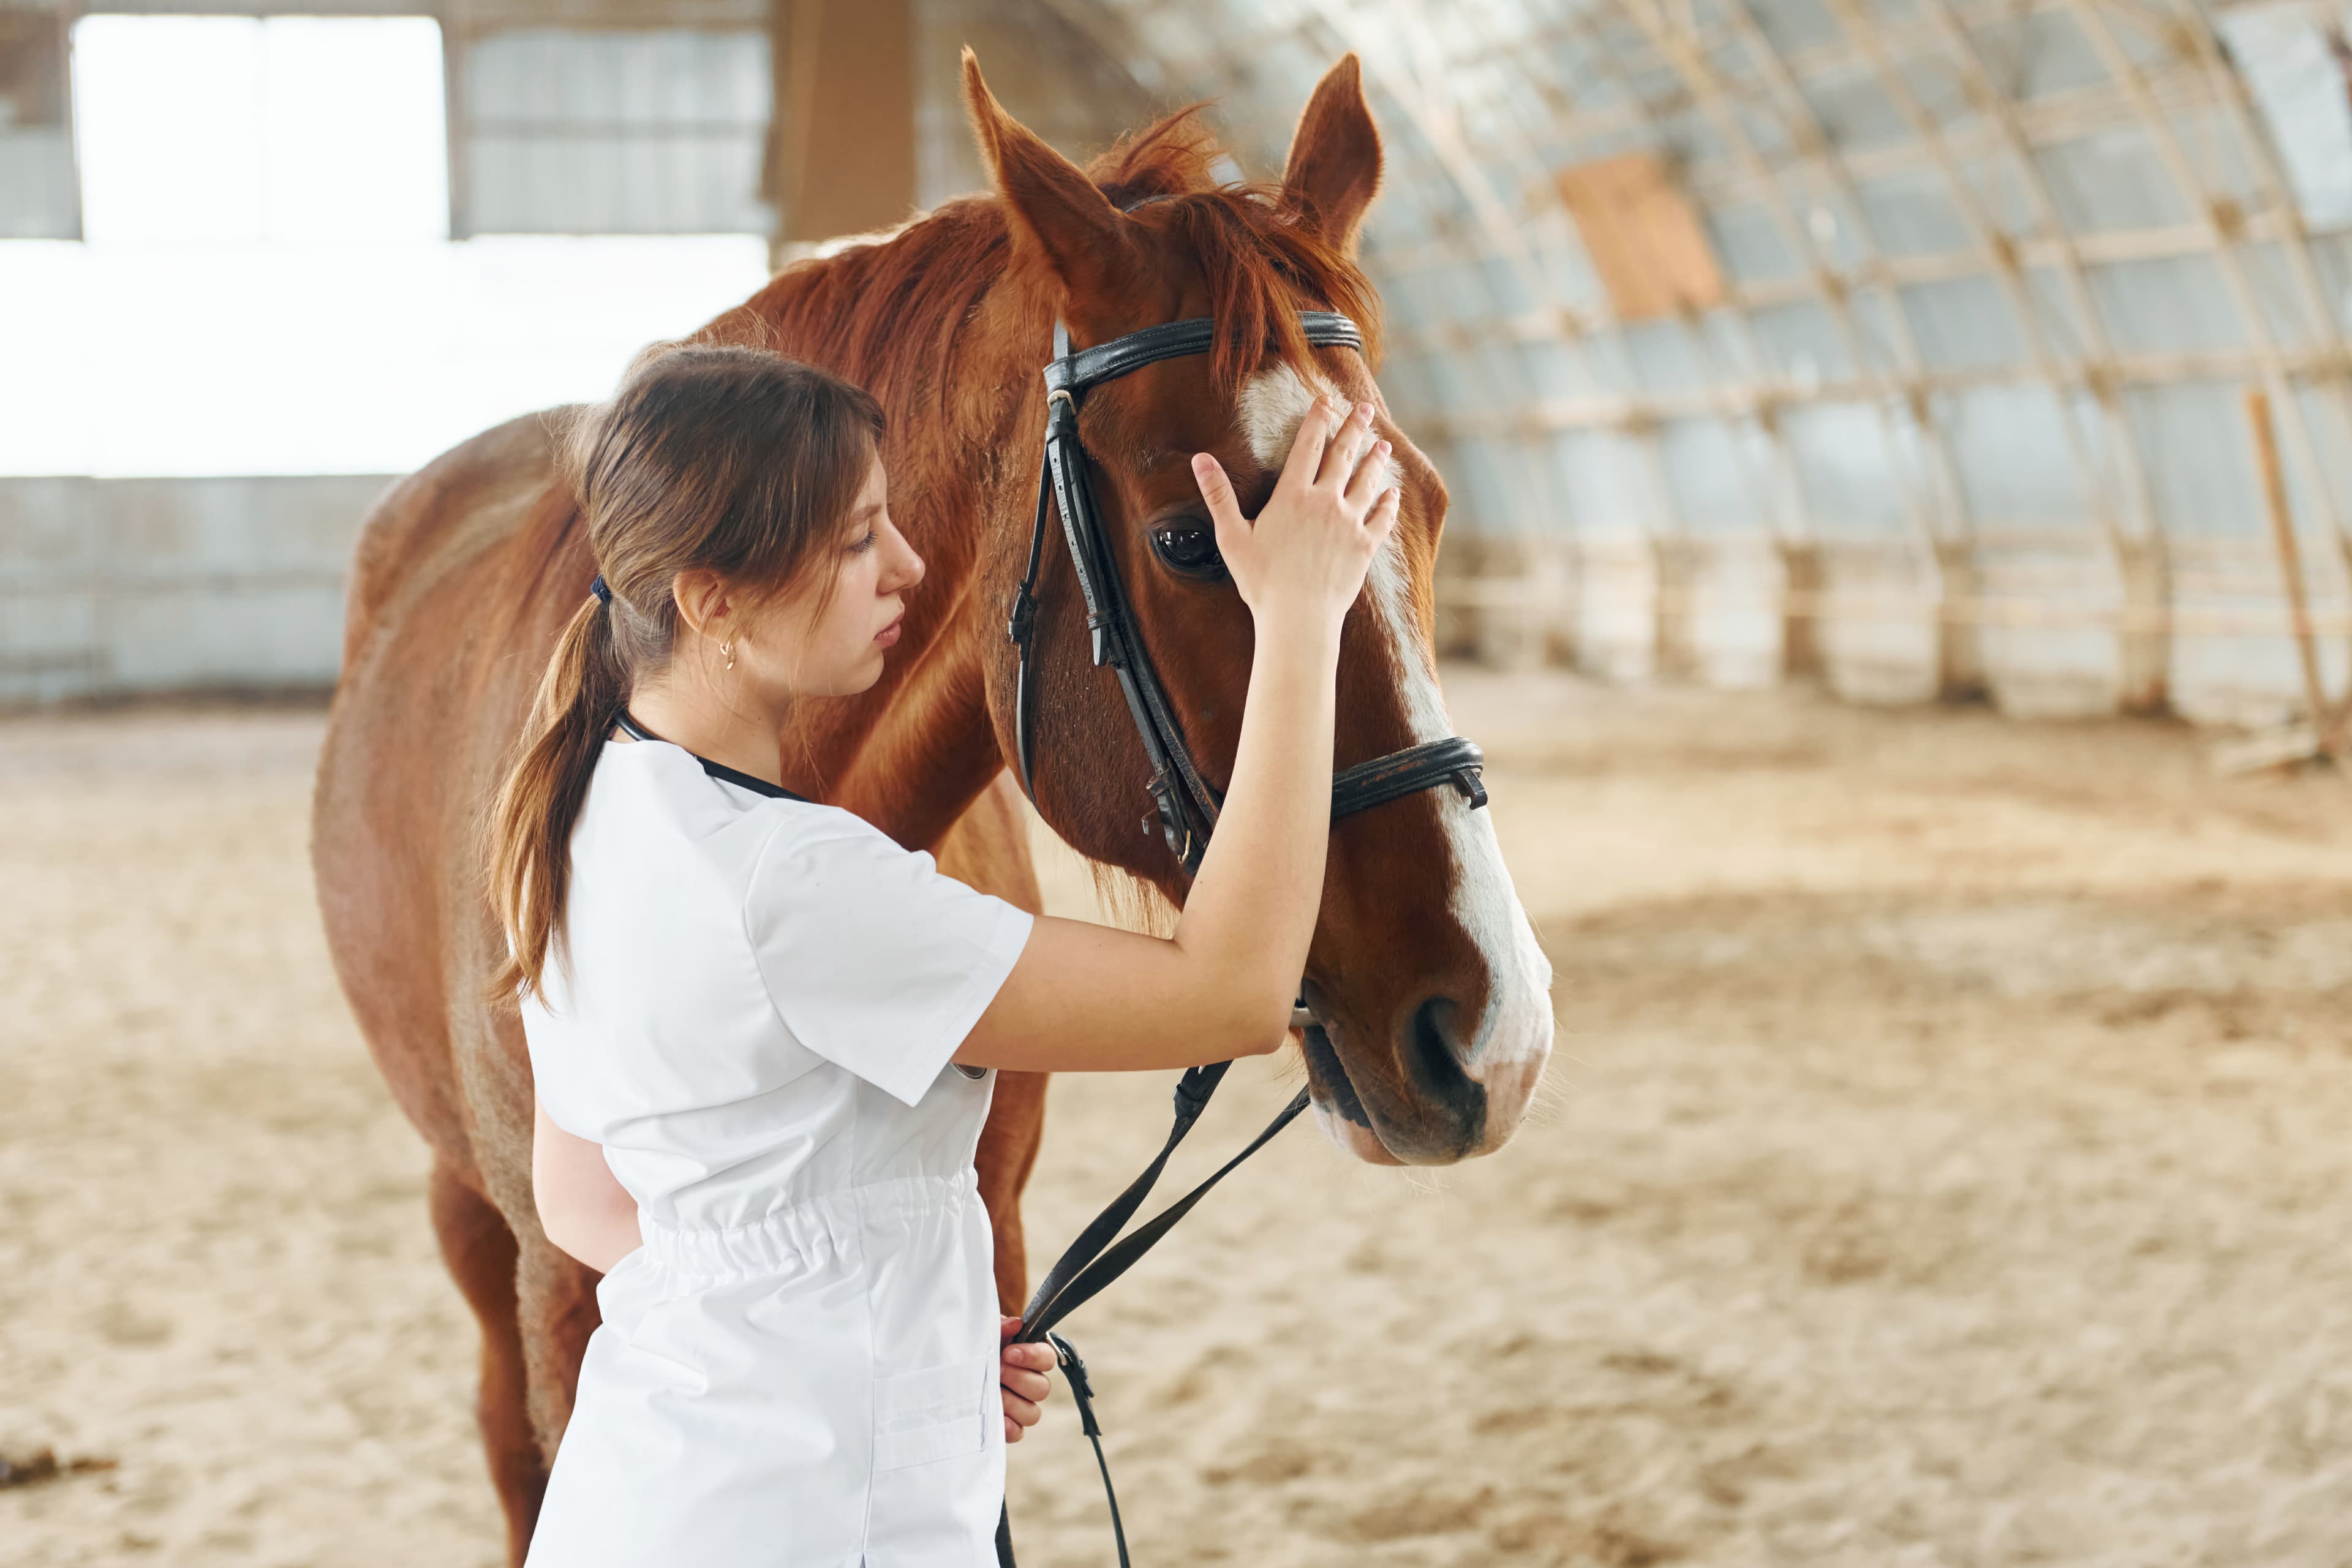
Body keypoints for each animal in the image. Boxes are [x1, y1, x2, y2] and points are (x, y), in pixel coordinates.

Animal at [317, 55, 1561, 1561]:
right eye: (1188, 540)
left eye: (1422, 505)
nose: (1491, 1035)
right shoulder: (567, 1296)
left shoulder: (998, 1240)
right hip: (464, 1205)